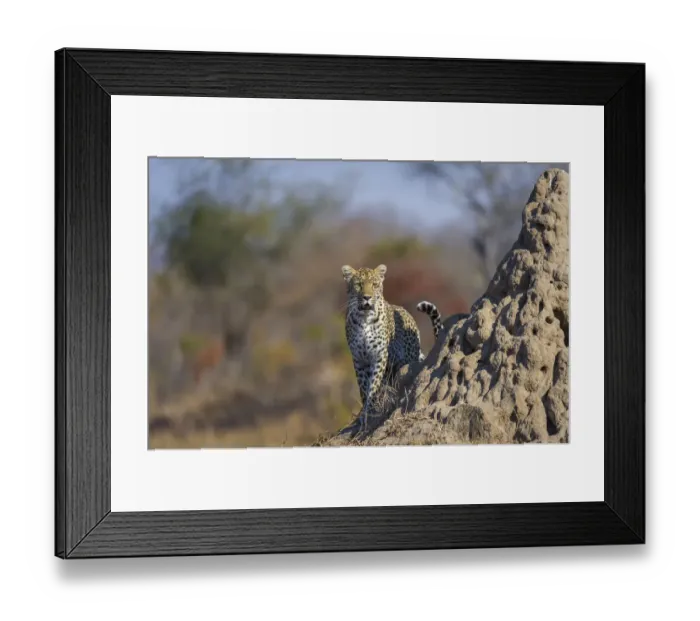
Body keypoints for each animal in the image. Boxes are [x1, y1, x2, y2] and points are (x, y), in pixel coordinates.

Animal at [341, 264, 444, 431]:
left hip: (406, 358)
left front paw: (370, 410)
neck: (364, 319)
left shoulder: (379, 355)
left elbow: (373, 385)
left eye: (375, 284)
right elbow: (363, 387)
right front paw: (364, 412)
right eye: (359, 285)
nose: (367, 297)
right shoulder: (358, 359)